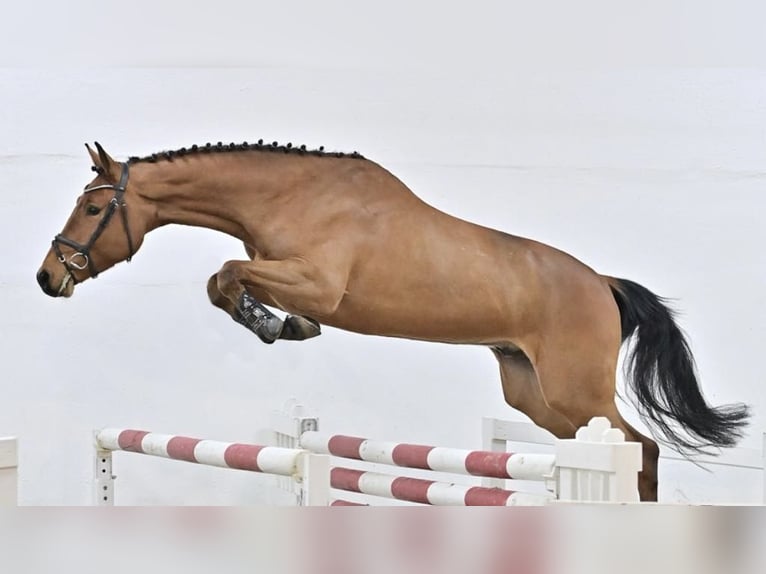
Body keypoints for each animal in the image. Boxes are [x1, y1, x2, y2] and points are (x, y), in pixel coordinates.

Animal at [36, 140, 750, 501]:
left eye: (93, 207)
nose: (48, 276)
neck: (290, 194)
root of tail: (602, 284)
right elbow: (223, 280)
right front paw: (280, 326)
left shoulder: (318, 285)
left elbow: (228, 275)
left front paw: (277, 325)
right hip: (535, 394)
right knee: (628, 445)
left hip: (577, 391)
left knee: (639, 447)